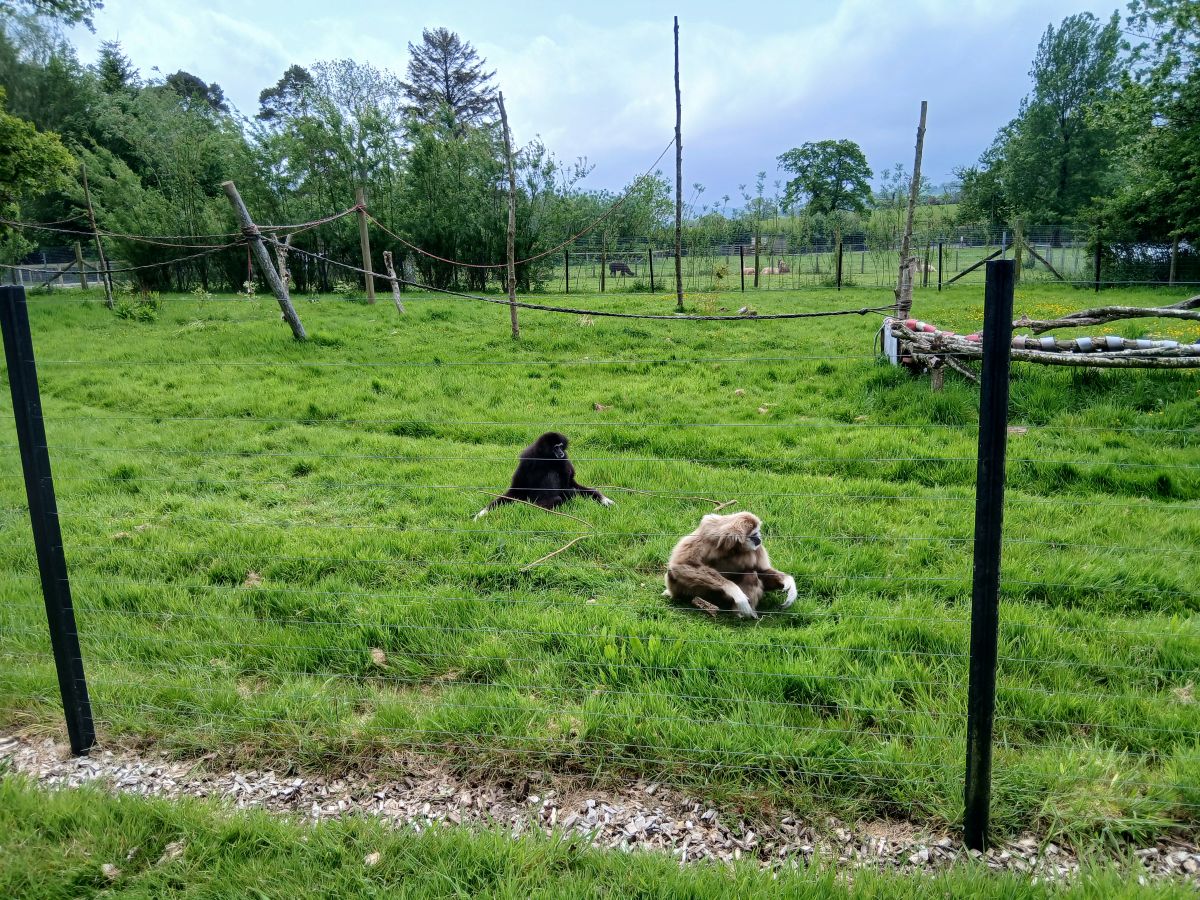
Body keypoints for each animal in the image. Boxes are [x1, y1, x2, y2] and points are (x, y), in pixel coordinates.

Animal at [474, 431, 614, 519]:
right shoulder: (527, 459)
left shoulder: (564, 459)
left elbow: (571, 483)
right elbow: (517, 488)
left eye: (561, 446)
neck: (546, 458)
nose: (560, 452)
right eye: (555, 447)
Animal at [663, 511, 796, 620]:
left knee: (751, 574)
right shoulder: (707, 531)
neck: (731, 547)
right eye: (754, 535)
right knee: (673, 573)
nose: (759, 539)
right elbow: (680, 564)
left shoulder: (757, 549)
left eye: (758, 532)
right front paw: (735, 591)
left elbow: (761, 572)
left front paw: (788, 582)